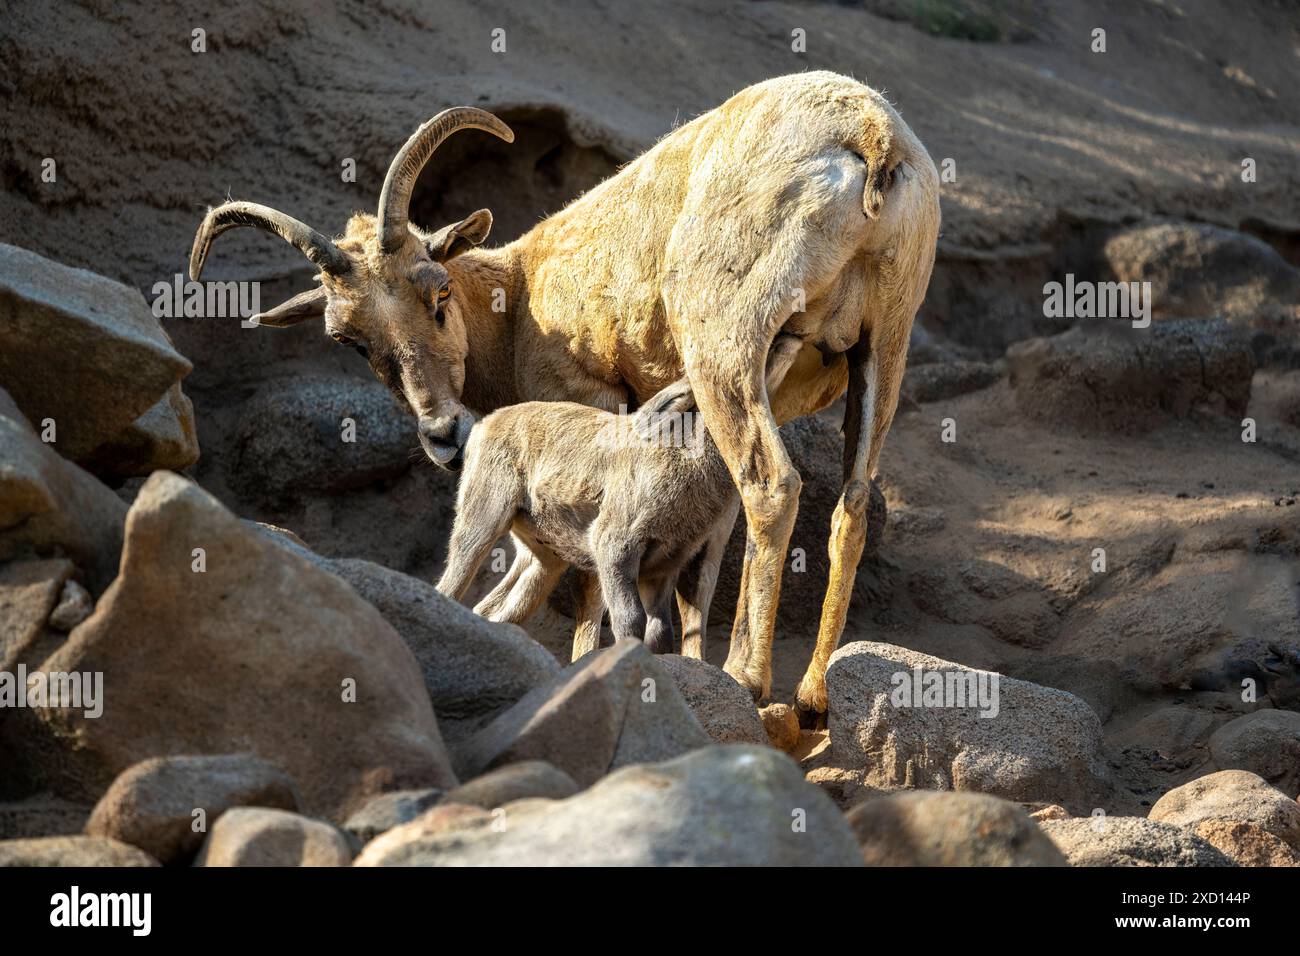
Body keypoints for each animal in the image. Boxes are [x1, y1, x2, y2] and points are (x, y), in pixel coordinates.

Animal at [437, 335, 803, 660]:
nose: (784, 339)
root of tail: (482, 427)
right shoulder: (614, 546)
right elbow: (630, 621)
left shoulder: (661, 569)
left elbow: (661, 631)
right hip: (481, 524)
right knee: (450, 588)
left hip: (542, 562)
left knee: (492, 611)